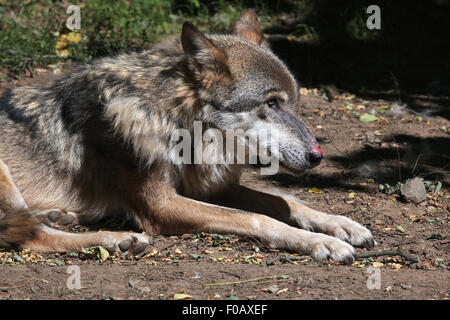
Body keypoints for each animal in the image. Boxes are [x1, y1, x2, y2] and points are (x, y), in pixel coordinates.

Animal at [0, 10, 374, 262]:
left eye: (294, 103)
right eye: (271, 103)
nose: (318, 156)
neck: (183, 125)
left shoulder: (212, 186)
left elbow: (286, 202)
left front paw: (342, 225)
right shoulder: (161, 204)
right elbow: (258, 217)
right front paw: (321, 243)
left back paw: (63, 216)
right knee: (30, 237)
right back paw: (117, 239)